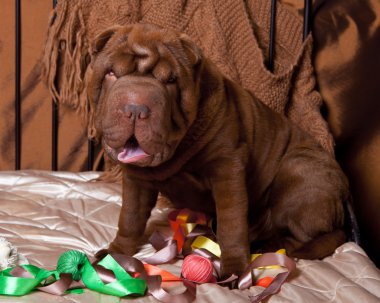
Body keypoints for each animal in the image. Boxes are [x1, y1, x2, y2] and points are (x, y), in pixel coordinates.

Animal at [87, 23, 348, 276]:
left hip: (298, 169)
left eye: (170, 81)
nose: (135, 108)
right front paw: (116, 253)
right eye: (111, 73)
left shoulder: (227, 167)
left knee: (299, 238)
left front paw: (234, 268)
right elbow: (130, 217)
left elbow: (231, 222)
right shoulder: (137, 179)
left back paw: (264, 246)